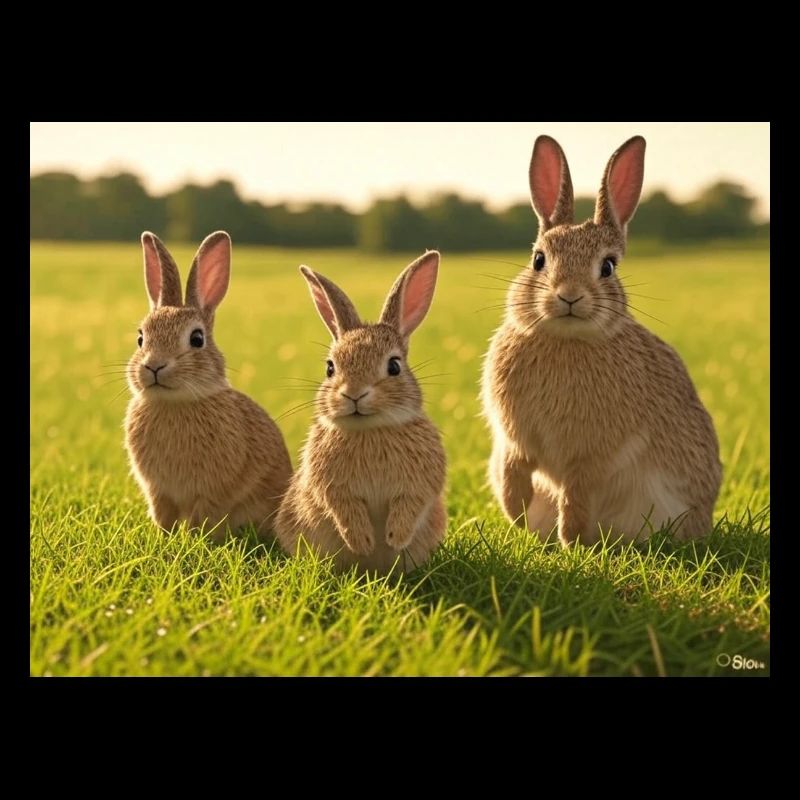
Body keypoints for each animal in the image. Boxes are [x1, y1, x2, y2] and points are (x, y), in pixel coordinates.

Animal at [124, 231, 293, 541]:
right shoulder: (158, 491)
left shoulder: (211, 492)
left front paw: (192, 540)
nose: (154, 366)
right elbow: (163, 516)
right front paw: (163, 538)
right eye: (141, 338)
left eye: (197, 339)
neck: (174, 403)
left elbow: (201, 517)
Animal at [274, 251, 447, 575]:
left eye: (394, 366)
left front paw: (394, 537)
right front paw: (363, 542)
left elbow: (410, 504)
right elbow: (344, 508)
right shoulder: (332, 488)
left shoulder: (419, 484)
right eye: (330, 368)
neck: (370, 429)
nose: (353, 394)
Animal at [481, 135, 722, 546]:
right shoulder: (515, 441)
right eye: (538, 260)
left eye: (608, 266)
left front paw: (570, 540)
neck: (565, 340)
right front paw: (517, 513)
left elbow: (576, 494)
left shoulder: (592, 457)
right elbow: (515, 470)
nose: (569, 295)